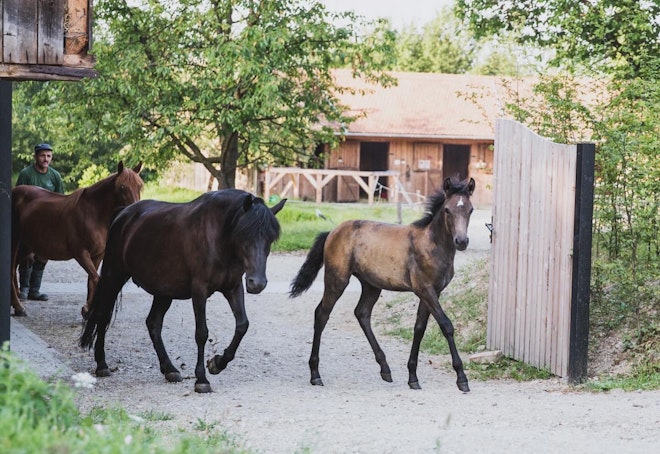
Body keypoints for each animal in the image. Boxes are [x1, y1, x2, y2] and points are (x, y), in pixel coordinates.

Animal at [10, 161, 143, 318]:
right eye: (122, 187)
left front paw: (87, 310)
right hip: (15, 242)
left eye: (140, 186)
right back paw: (19, 307)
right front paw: (88, 310)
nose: (136, 211)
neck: (93, 214)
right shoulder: (81, 254)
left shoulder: (98, 255)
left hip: (26, 245)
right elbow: (96, 279)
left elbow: (91, 281)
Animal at [79, 189, 286, 394]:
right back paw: (102, 365)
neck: (218, 236)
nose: (257, 283)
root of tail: (123, 214)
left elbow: (242, 325)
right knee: (103, 316)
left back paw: (169, 369)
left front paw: (217, 363)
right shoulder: (199, 290)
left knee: (153, 323)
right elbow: (202, 333)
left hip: (163, 291)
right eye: (244, 234)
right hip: (114, 276)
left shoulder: (233, 287)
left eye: (270, 238)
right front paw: (201, 379)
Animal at [290, 176, 475, 392]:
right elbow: (446, 325)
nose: (461, 241)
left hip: (371, 285)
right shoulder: (425, 290)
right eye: (447, 210)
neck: (432, 244)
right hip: (337, 279)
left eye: (470, 209)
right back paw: (315, 374)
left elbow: (419, 328)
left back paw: (385, 368)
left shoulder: (432, 292)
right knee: (321, 314)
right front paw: (461, 378)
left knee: (362, 313)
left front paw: (413, 377)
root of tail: (332, 231)